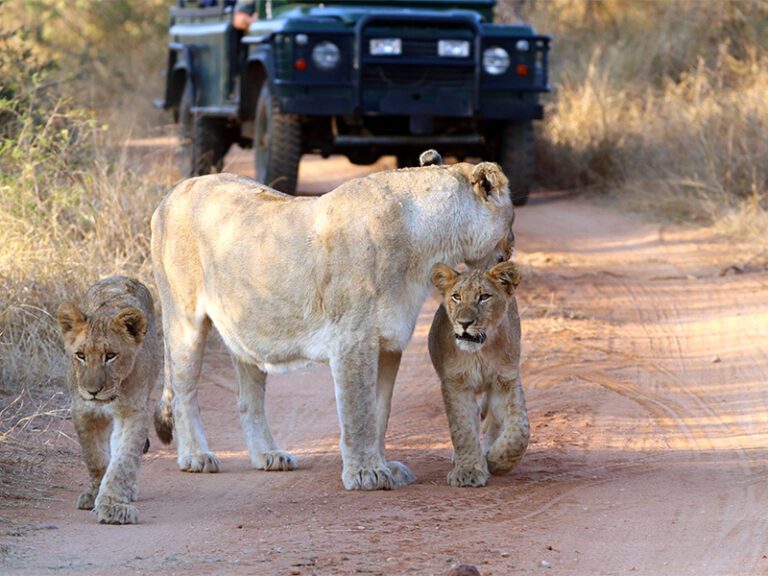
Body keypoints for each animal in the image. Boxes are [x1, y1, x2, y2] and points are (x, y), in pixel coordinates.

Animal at [57, 276, 161, 523]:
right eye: (81, 355)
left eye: (111, 356)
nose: (93, 391)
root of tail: (120, 277)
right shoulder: (83, 411)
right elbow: (95, 458)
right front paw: (95, 494)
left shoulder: (134, 412)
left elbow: (123, 461)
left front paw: (113, 505)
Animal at [150, 149, 515, 490]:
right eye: (511, 220)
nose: (510, 251)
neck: (426, 244)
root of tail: (172, 193)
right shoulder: (352, 340)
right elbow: (359, 410)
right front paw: (366, 474)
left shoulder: (388, 344)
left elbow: (379, 411)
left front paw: (384, 467)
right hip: (183, 319)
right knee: (183, 392)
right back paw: (196, 456)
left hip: (243, 327)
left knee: (247, 398)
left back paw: (268, 455)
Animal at [428, 260, 529, 487]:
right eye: (456, 296)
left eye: (484, 297)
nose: (464, 323)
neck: (479, 353)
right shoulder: (455, 383)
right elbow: (463, 429)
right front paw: (468, 471)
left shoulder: (506, 380)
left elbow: (519, 429)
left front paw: (495, 460)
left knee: (495, 422)